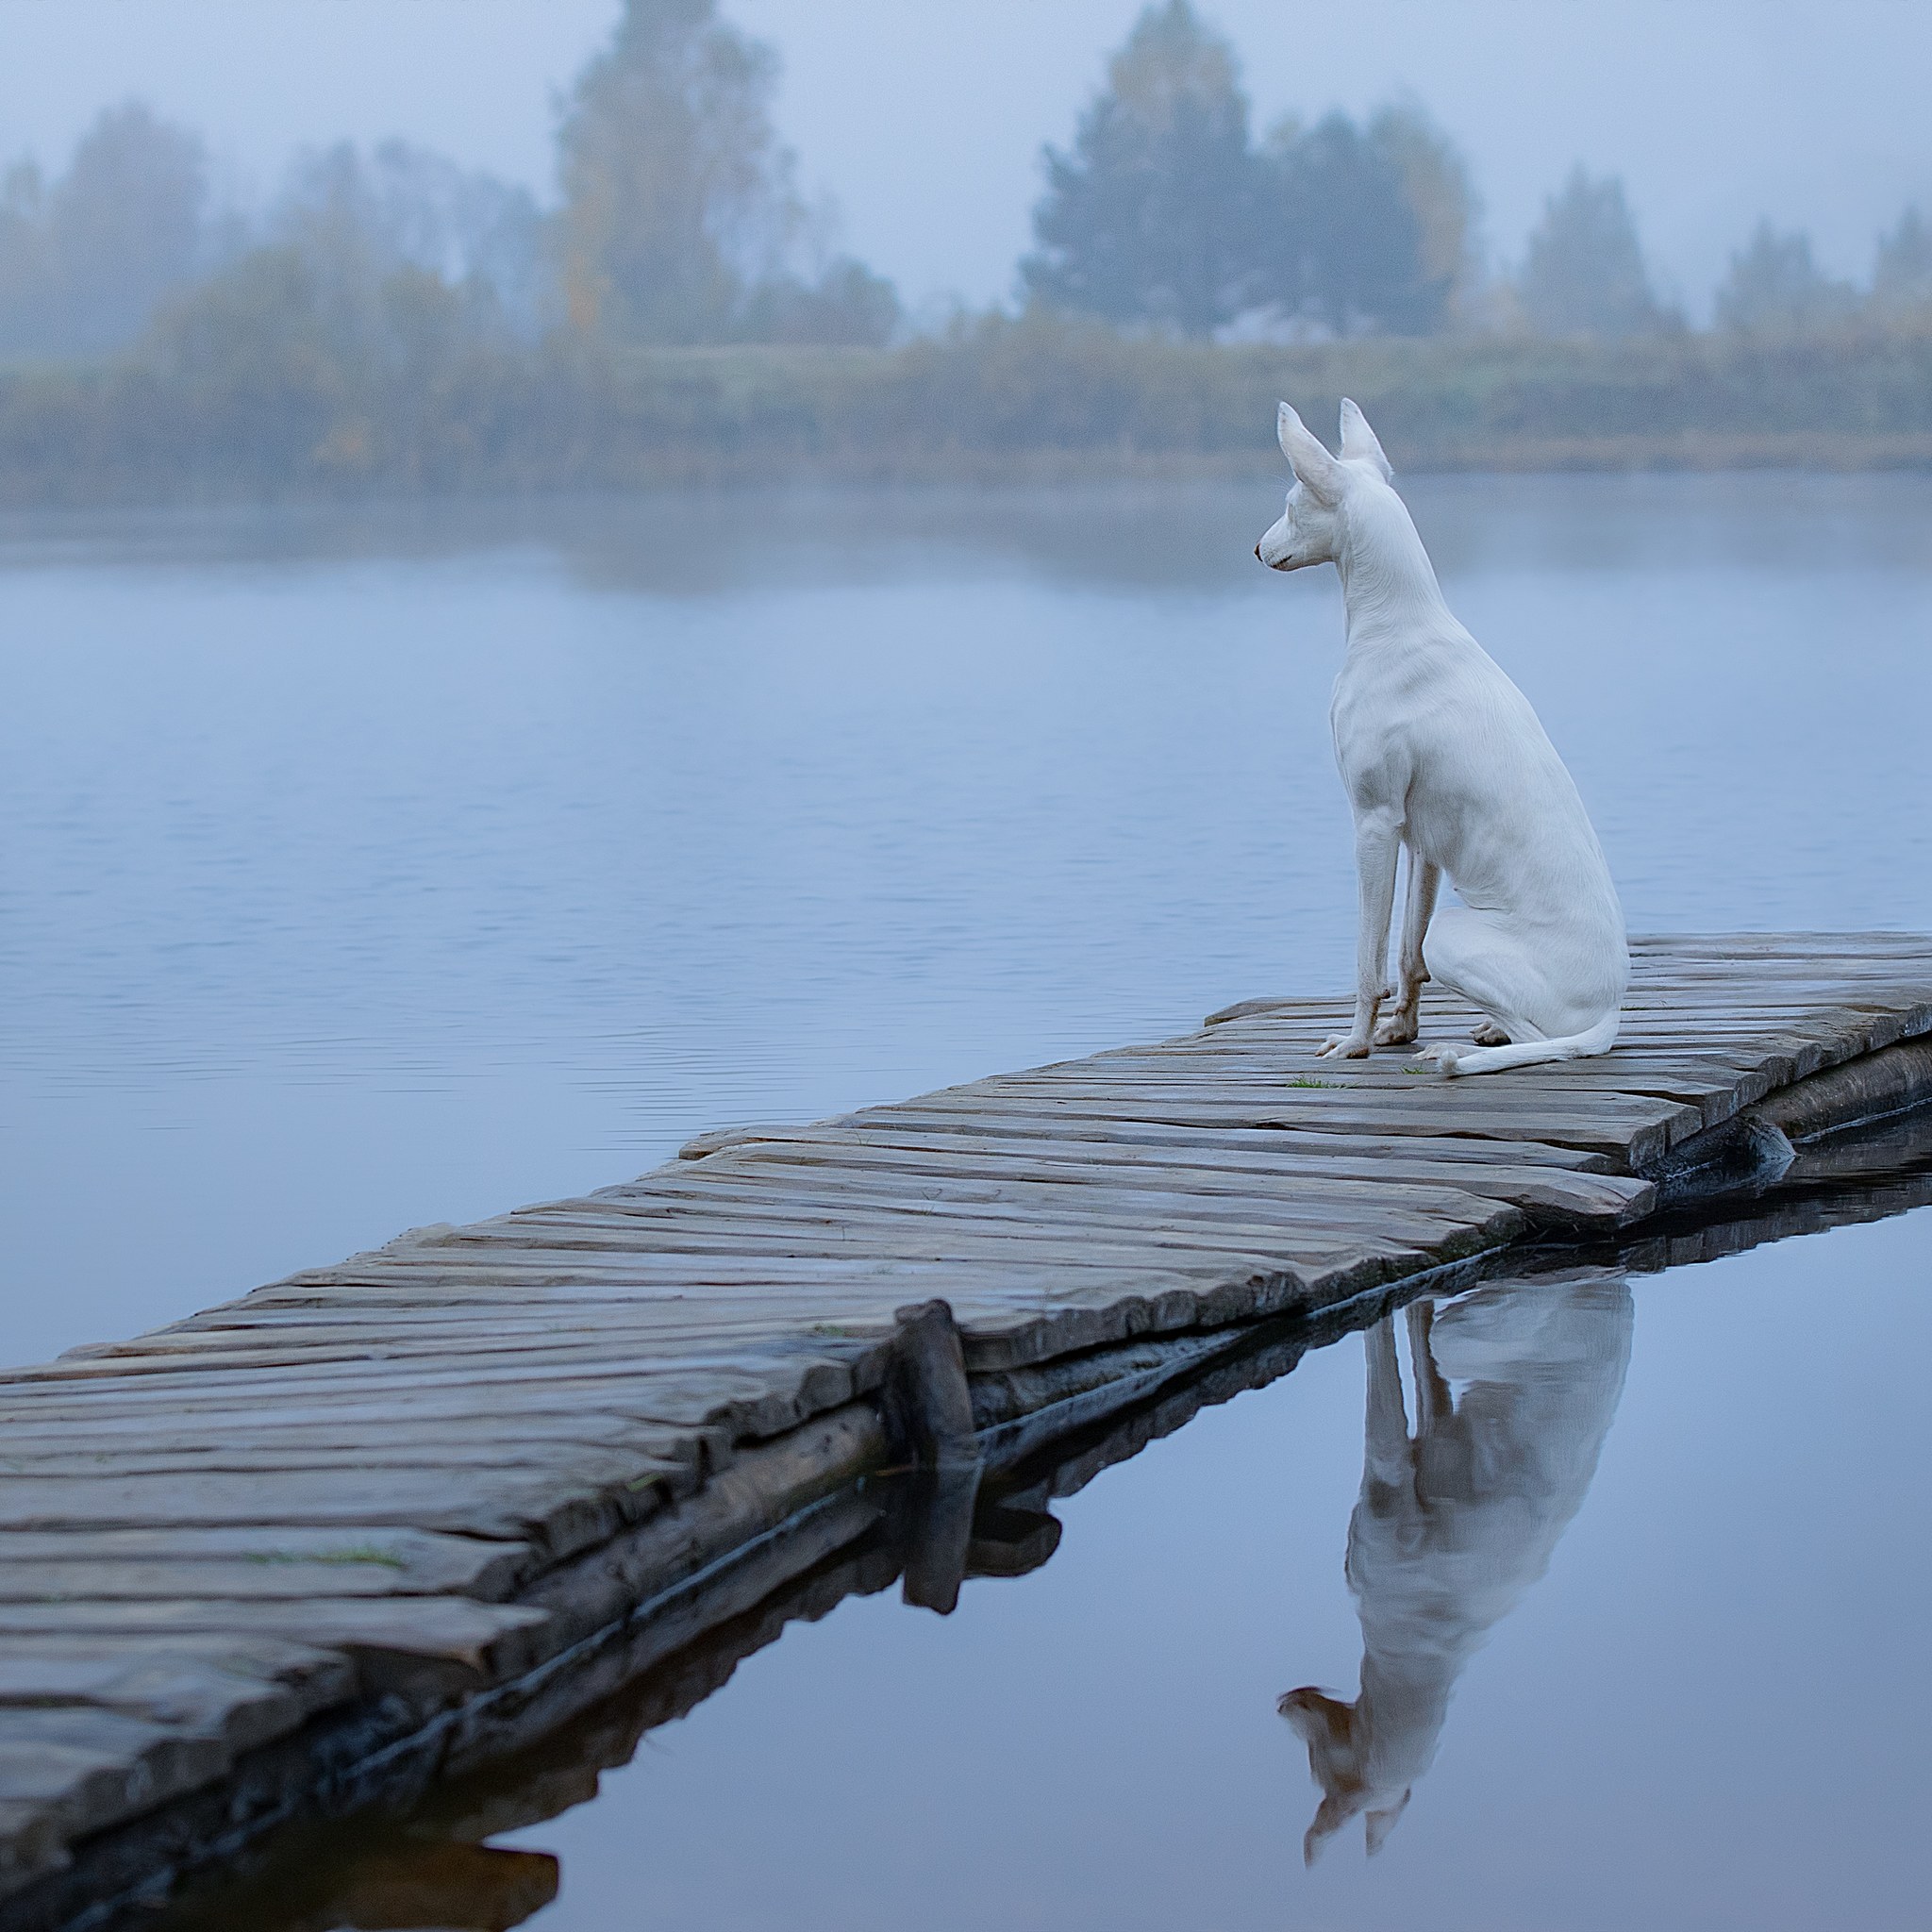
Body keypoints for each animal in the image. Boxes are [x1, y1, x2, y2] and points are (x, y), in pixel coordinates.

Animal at [1259, 399, 1623, 1081]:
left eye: (1292, 505)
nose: (1258, 548)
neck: (1396, 623)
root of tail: (1611, 1013)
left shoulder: (1373, 823)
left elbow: (1369, 956)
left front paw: (1356, 1042)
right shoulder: (1419, 838)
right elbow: (1404, 954)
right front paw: (1399, 1028)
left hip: (1455, 933)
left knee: (1541, 1039)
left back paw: (1463, 1051)